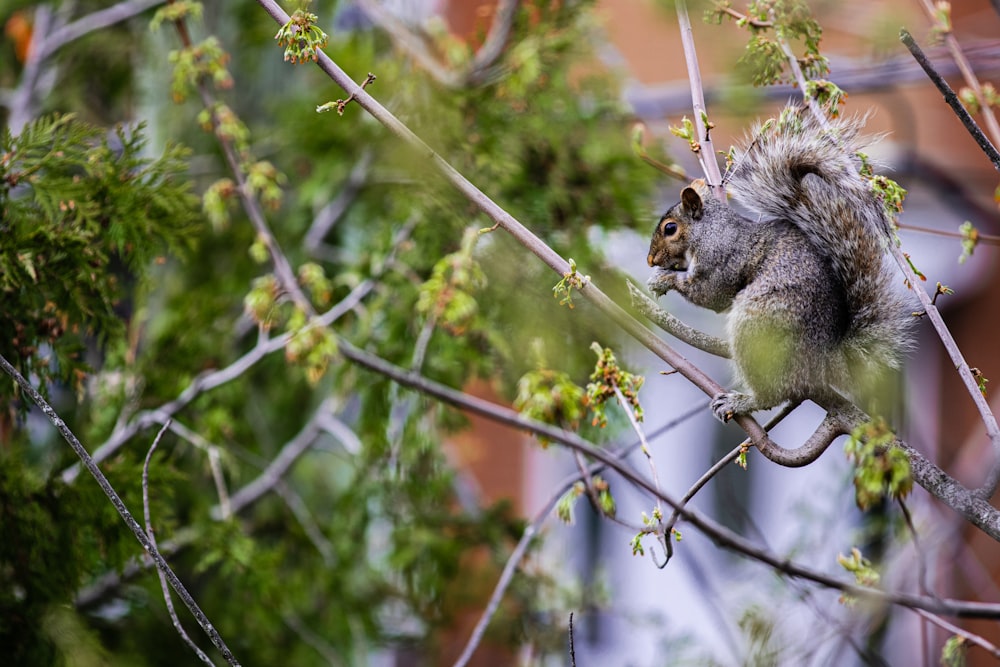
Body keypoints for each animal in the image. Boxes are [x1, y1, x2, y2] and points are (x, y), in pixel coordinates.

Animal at [648, 107, 916, 422]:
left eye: (670, 228)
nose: (650, 259)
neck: (710, 230)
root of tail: (825, 361)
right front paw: (659, 275)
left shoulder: (722, 259)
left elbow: (710, 295)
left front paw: (664, 279)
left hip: (758, 328)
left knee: (773, 395)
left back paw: (742, 401)